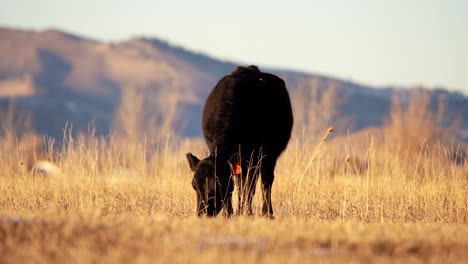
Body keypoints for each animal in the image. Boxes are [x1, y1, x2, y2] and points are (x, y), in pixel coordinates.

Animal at [186, 65, 292, 218]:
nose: (203, 214)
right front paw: (229, 214)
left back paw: (267, 213)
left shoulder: (254, 156)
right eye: (194, 186)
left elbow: (249, 187)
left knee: (265, 182)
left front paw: (245, 213)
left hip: (269, 156)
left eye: (216, 185)